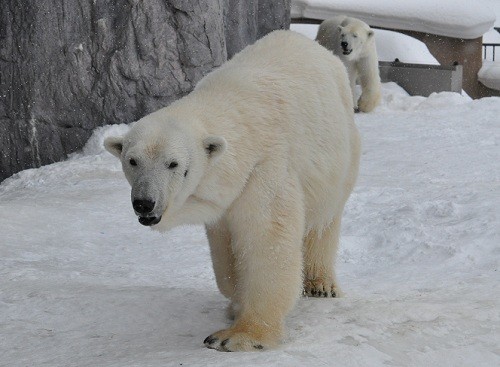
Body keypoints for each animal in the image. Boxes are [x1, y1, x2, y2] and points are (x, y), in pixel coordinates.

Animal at [104, 30, 360, 352]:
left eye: (174, 164)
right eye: (132, 161)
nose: (145, 203)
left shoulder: (264, 170)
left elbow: (266, 242)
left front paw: (238, 335)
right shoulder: (227, 195)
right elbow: (225, 250)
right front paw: (235, 303)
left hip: (341, 154)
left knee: (324, 219)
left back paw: (320, 284)